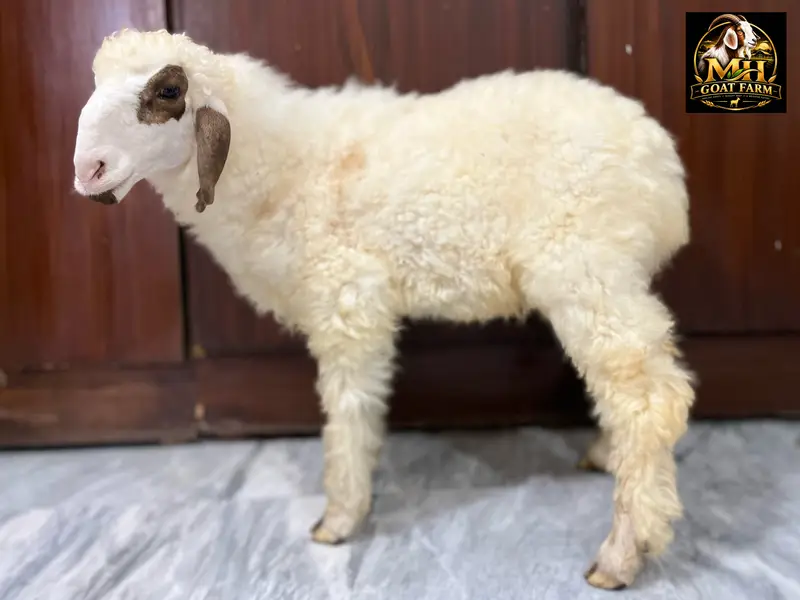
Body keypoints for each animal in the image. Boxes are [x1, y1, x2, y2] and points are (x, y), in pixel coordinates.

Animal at [72, 28, 695, 590]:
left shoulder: (348, 298)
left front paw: (340, 518)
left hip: (586, 267)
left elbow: (350, 410)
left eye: (168, 91)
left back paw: (623, 552)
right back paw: (607, 460)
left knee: (649, 400)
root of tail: (662, 168)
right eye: (95, 82)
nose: (88, 170)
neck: (282, 167)